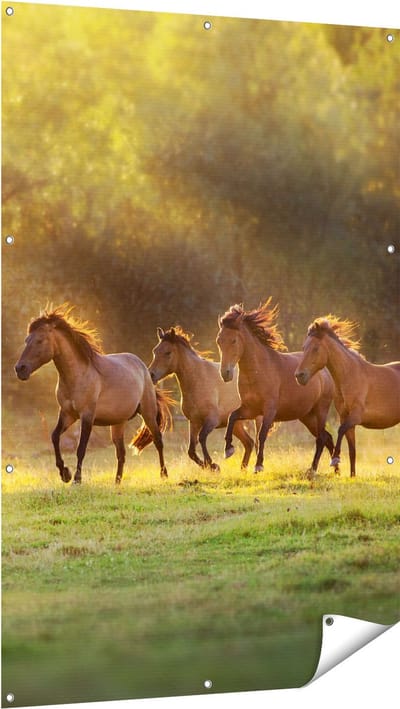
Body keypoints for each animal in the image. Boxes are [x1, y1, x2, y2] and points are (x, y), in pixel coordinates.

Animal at [14, 305, 172, 484]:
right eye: (27, 340)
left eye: (40, 340)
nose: (20, 369)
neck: (78, 376)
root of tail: (144, 368)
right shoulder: (68, 414)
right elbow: (54, 437)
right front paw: (65, 474)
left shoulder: (87, 416)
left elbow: (81, 448)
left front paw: (76, 479)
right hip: (118, 423)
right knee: (121, 453)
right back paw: (117, 482)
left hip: (148, 413)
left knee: (158, 441)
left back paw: (163, 475)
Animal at [149, 326, 261, 470]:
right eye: (155, 351)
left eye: (168, 352)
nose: (151, 374)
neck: (198, 380)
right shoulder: (194, 422)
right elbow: (191, 451)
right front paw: (210, 466)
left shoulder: (211, 420)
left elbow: (202, 438)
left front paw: (212, 464)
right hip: (236, 424)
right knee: (249, 443)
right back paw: (243, 469)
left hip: (258, 419)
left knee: (257, 442)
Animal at [216, 299, 337, 475]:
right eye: (219, 341)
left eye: (233, 340)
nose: (225, 373)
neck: (258, 371)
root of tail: (326, 372)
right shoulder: (250, 409)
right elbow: (232, 417)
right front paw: (228, 449)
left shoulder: (269, 410)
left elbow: (261, 435)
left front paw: (258, 465)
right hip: (307, 417)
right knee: (327, 437)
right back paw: (336, 469)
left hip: (321, 411)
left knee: (321, 438)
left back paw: (313, 469)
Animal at [295, 316, 400, 477]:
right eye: (303, 347)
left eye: (315, 348)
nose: (299, 376)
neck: (350, 376)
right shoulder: (346, 417)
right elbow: (352, 451)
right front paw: (352, 476)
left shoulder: (355, 417)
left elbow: (340, 430)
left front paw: (335, 459)